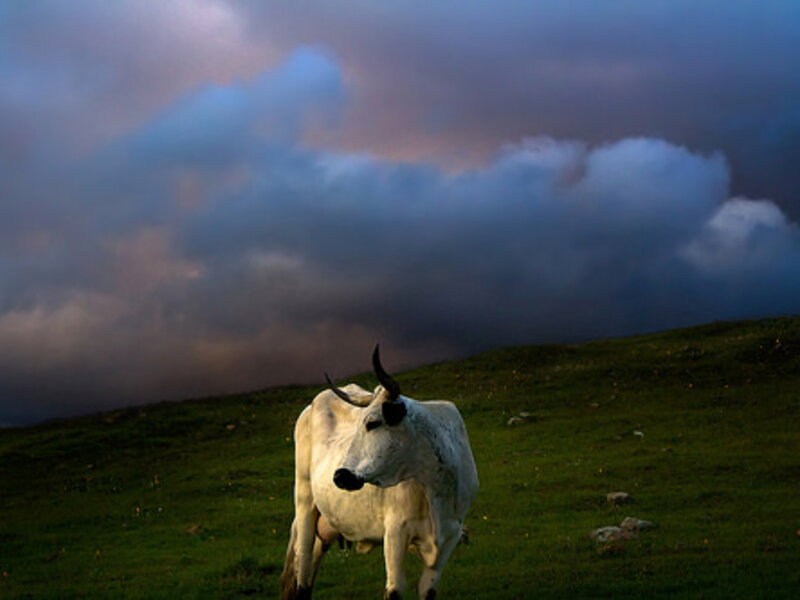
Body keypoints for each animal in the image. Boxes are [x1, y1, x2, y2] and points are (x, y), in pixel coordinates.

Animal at [281, 346, 478, 600]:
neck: (436, 488)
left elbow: (428, 591)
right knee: (302, 570)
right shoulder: (395, 533)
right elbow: (394, 590)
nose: (340, 476)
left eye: (373, 423)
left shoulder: (449, 538)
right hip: (305, 501)